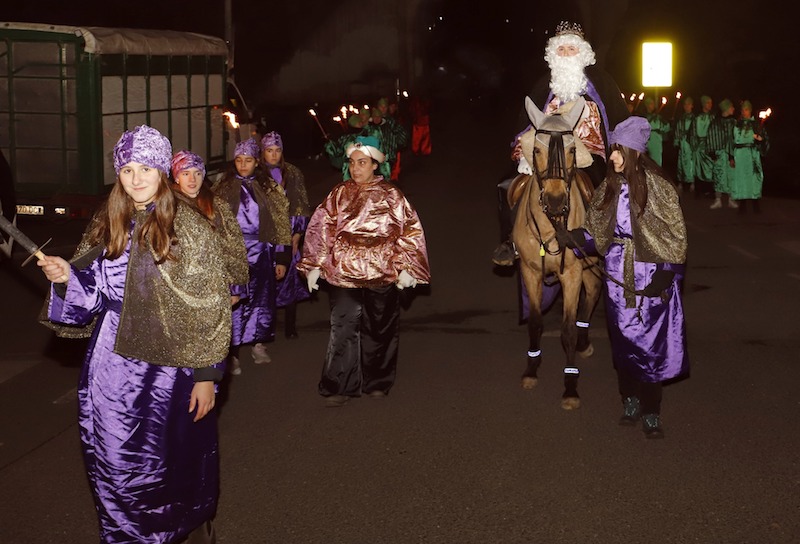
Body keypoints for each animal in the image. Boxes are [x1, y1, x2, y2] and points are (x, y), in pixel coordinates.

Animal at [510, 95, 602, 410]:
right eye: (536, 150)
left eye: (572, 149)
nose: (554, 200)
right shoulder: (530, 272)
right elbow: (535, 321)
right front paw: (530, 370)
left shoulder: (571, 274)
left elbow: (568, 329)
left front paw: (570, 386)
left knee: (593, 291)